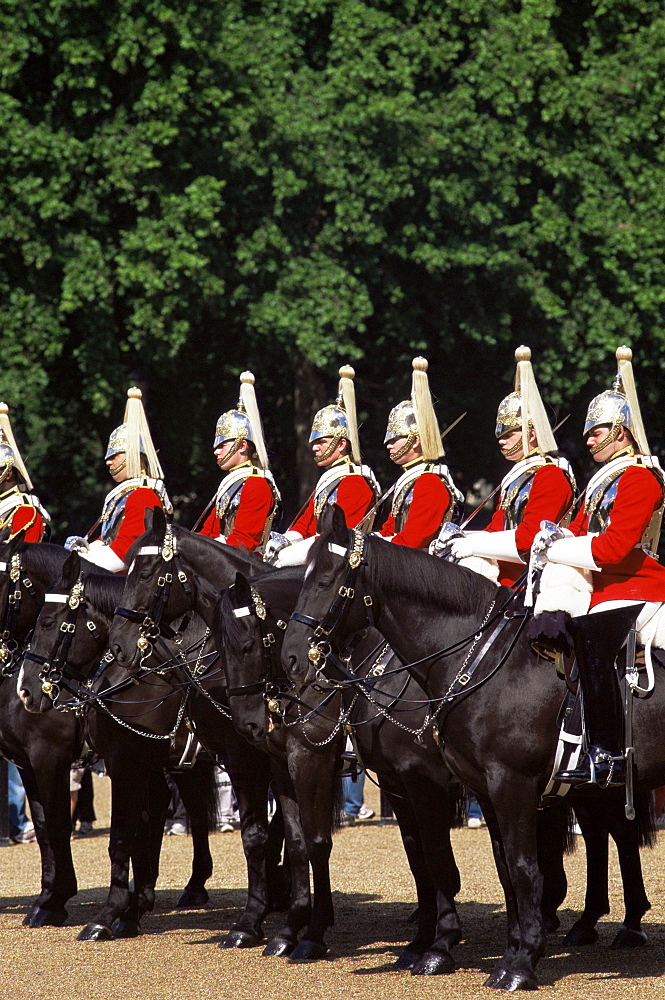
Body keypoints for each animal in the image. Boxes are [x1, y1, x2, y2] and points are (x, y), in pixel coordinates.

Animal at [282, 520, 660, 988]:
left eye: (324, 580)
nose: (292, 659)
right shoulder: (463, 787)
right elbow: (488, 868)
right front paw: (502, 951)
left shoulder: (491, 783)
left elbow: (504, 866)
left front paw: (502, 960)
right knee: (609, 834)